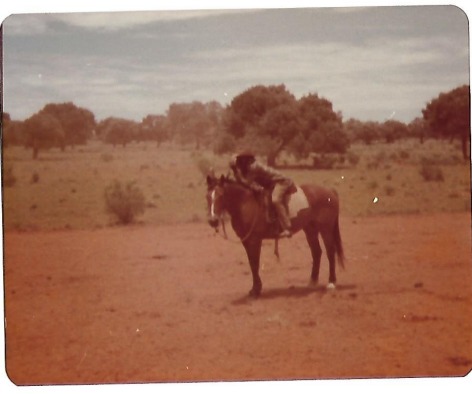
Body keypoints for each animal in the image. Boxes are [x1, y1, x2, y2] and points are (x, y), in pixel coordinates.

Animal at [206, 174, 342, 298]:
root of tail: (330, 191)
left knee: (330, 252)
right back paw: (312, 282)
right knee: (316, 252)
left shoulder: (255, 240)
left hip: (326, 229)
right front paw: (255, 289)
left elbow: (254, 263)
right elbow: (251, 263)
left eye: (220, 195)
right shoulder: (246, 241)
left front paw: (256, 290)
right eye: (207, 196)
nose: (213, 220)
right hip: (310, 229)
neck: (246, 203)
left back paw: (331, 282)